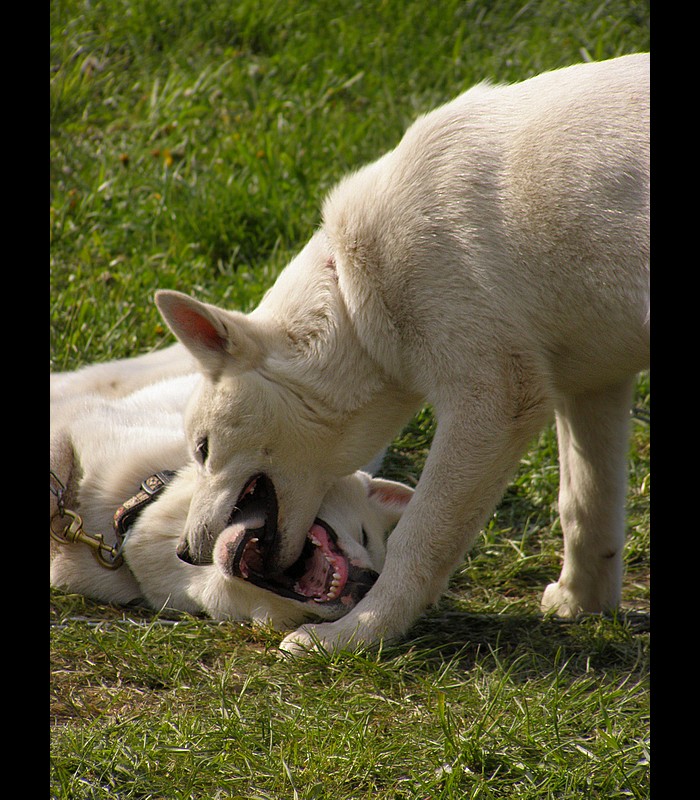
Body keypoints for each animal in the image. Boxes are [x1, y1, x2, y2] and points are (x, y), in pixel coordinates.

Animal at [149, 54, 652, 656]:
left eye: (202, 449)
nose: (184, 552)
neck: (354, 291)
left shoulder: (493, 402)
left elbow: (418, 540)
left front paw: (356, 635)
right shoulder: (591, 386)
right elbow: (585, 506)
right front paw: (582, 607)